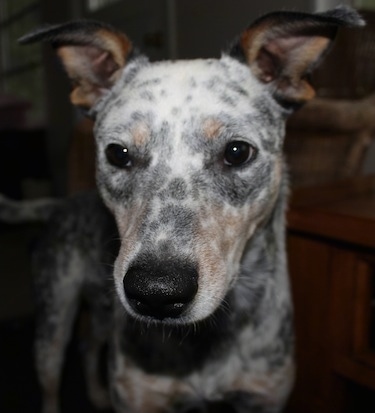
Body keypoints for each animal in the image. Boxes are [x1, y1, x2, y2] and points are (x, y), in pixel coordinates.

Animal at [9, 6, 364, 412]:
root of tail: (61, 203)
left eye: (237, 151)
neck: (204, 343)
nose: (156, 292)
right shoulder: (139, 396)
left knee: (88, 345)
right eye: (117, 153)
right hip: (53, 320)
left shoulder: (264, 396)